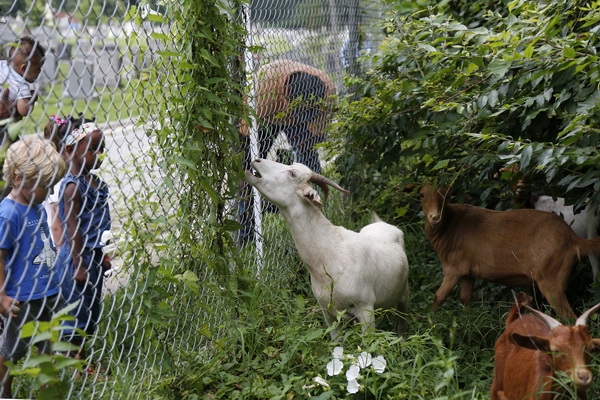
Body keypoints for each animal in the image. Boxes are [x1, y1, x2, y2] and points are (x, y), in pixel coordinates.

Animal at [244, 158, 408, 340]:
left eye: (293, 173)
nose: (256, 160)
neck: (330, 255)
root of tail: (382, 223)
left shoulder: (365, 308)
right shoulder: (328, 312)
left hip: (403, 293)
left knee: (402, 319)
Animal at [418, 185, 600, 318]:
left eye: (445, 194)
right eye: (421, 195)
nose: (435, 217)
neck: (450, 226)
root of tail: (574, 240)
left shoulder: (453, 268)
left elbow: (439, 296)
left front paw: (427, 322)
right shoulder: (468, 274)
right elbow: (465, 299)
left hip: (551, 278)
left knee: (569, 317)